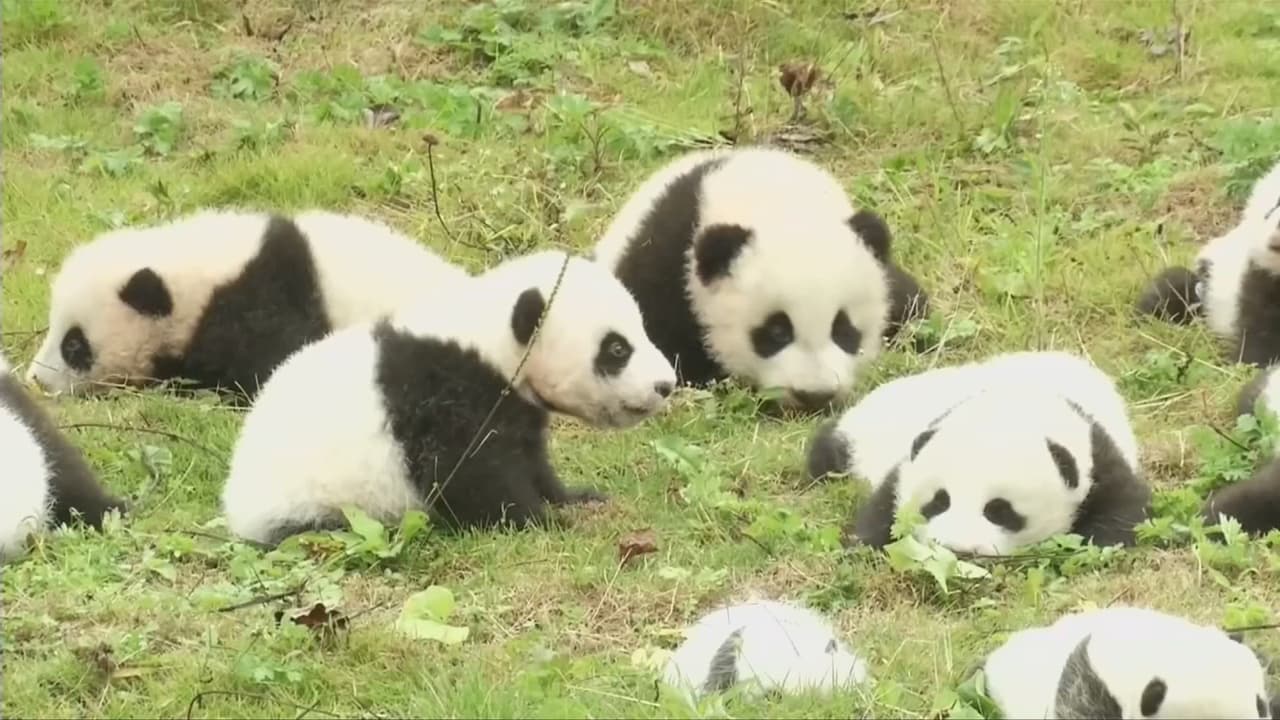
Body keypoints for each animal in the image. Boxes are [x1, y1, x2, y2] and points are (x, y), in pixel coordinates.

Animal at [220, 250, 677, 546]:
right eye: (617, 349)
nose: (665, 384)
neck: (488, 338)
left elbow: (531, 459)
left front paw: (577, 499)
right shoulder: (444, 393)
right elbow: (472, 475)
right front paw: (545, 521)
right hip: (309, 500)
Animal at [807, 351, 1150, 556]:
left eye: (999, 510)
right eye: (938, 501)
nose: (956, 549)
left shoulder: (1097, 454)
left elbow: (1124, 510)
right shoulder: (907, 458)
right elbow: (884, 509)